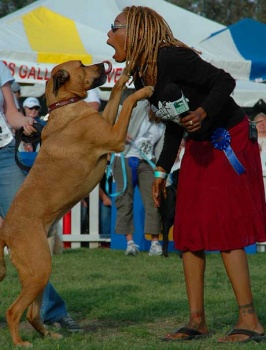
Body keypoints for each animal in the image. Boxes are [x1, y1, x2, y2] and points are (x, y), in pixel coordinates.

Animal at [0, 60, 154, 348]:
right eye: (81, 65)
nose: (104, 63)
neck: (65, 105)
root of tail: (6, 231)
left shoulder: (107, 122)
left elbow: (115, 98)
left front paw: (125, 75)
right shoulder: (114, 136)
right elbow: (127, 103)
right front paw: (143, 91)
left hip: (39, 271)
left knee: (32, 313)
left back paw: (50, 335)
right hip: (39, 267)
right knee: (14, 311)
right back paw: (20, 342)